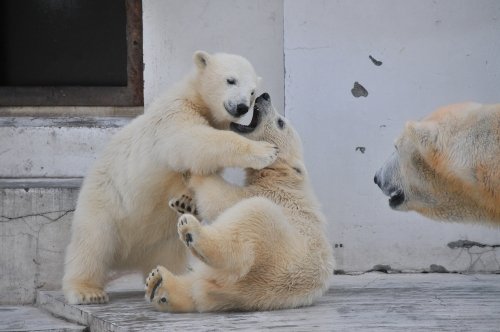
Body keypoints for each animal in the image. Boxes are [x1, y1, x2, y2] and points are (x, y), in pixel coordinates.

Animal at [62, 51, 278, 304]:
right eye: (230, 80)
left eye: (252, 92)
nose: (242, 107)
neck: (194, 97)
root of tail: (128, 257)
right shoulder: (174, 115)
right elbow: (194, 141)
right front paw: (265, 151)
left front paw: (187, 202)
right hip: (105, 203)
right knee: (92, 243)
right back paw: (87, 291)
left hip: (162, 239)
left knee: (171, 254)